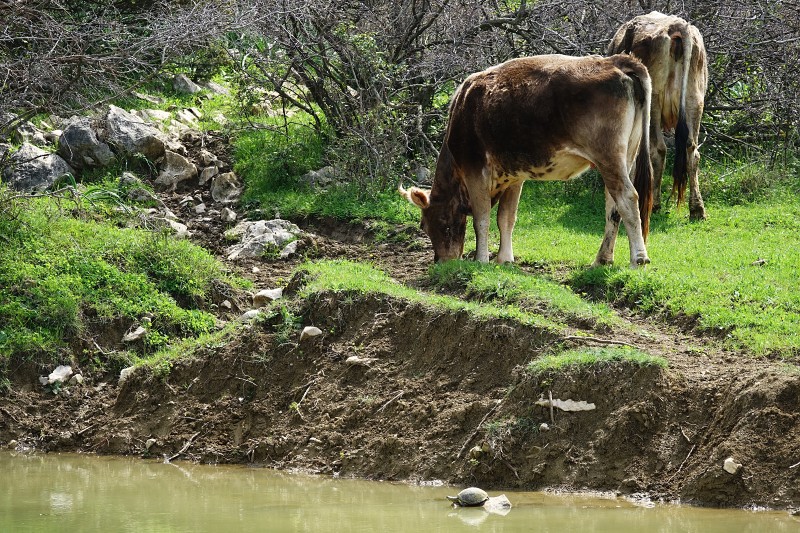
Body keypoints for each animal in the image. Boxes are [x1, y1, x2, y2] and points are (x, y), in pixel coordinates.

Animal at [400, 55, 656, 266]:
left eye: (426, 224)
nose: (442, 261)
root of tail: (615, 61)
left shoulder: (476, 171)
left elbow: (482, 218)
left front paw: (481, 260)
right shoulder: (514, 177)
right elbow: (506, 218)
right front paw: (504, 259)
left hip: (608, 157)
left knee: (627, 198)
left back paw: (638, 259)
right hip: (624, 158)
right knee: (613, 207)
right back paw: (602, 259)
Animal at [608, 13, 708, 220]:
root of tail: (678, 27)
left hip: (654, 102)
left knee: (658, 150)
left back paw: (655, 203)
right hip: (694, 100)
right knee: (692, 150)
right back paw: (697, 209)